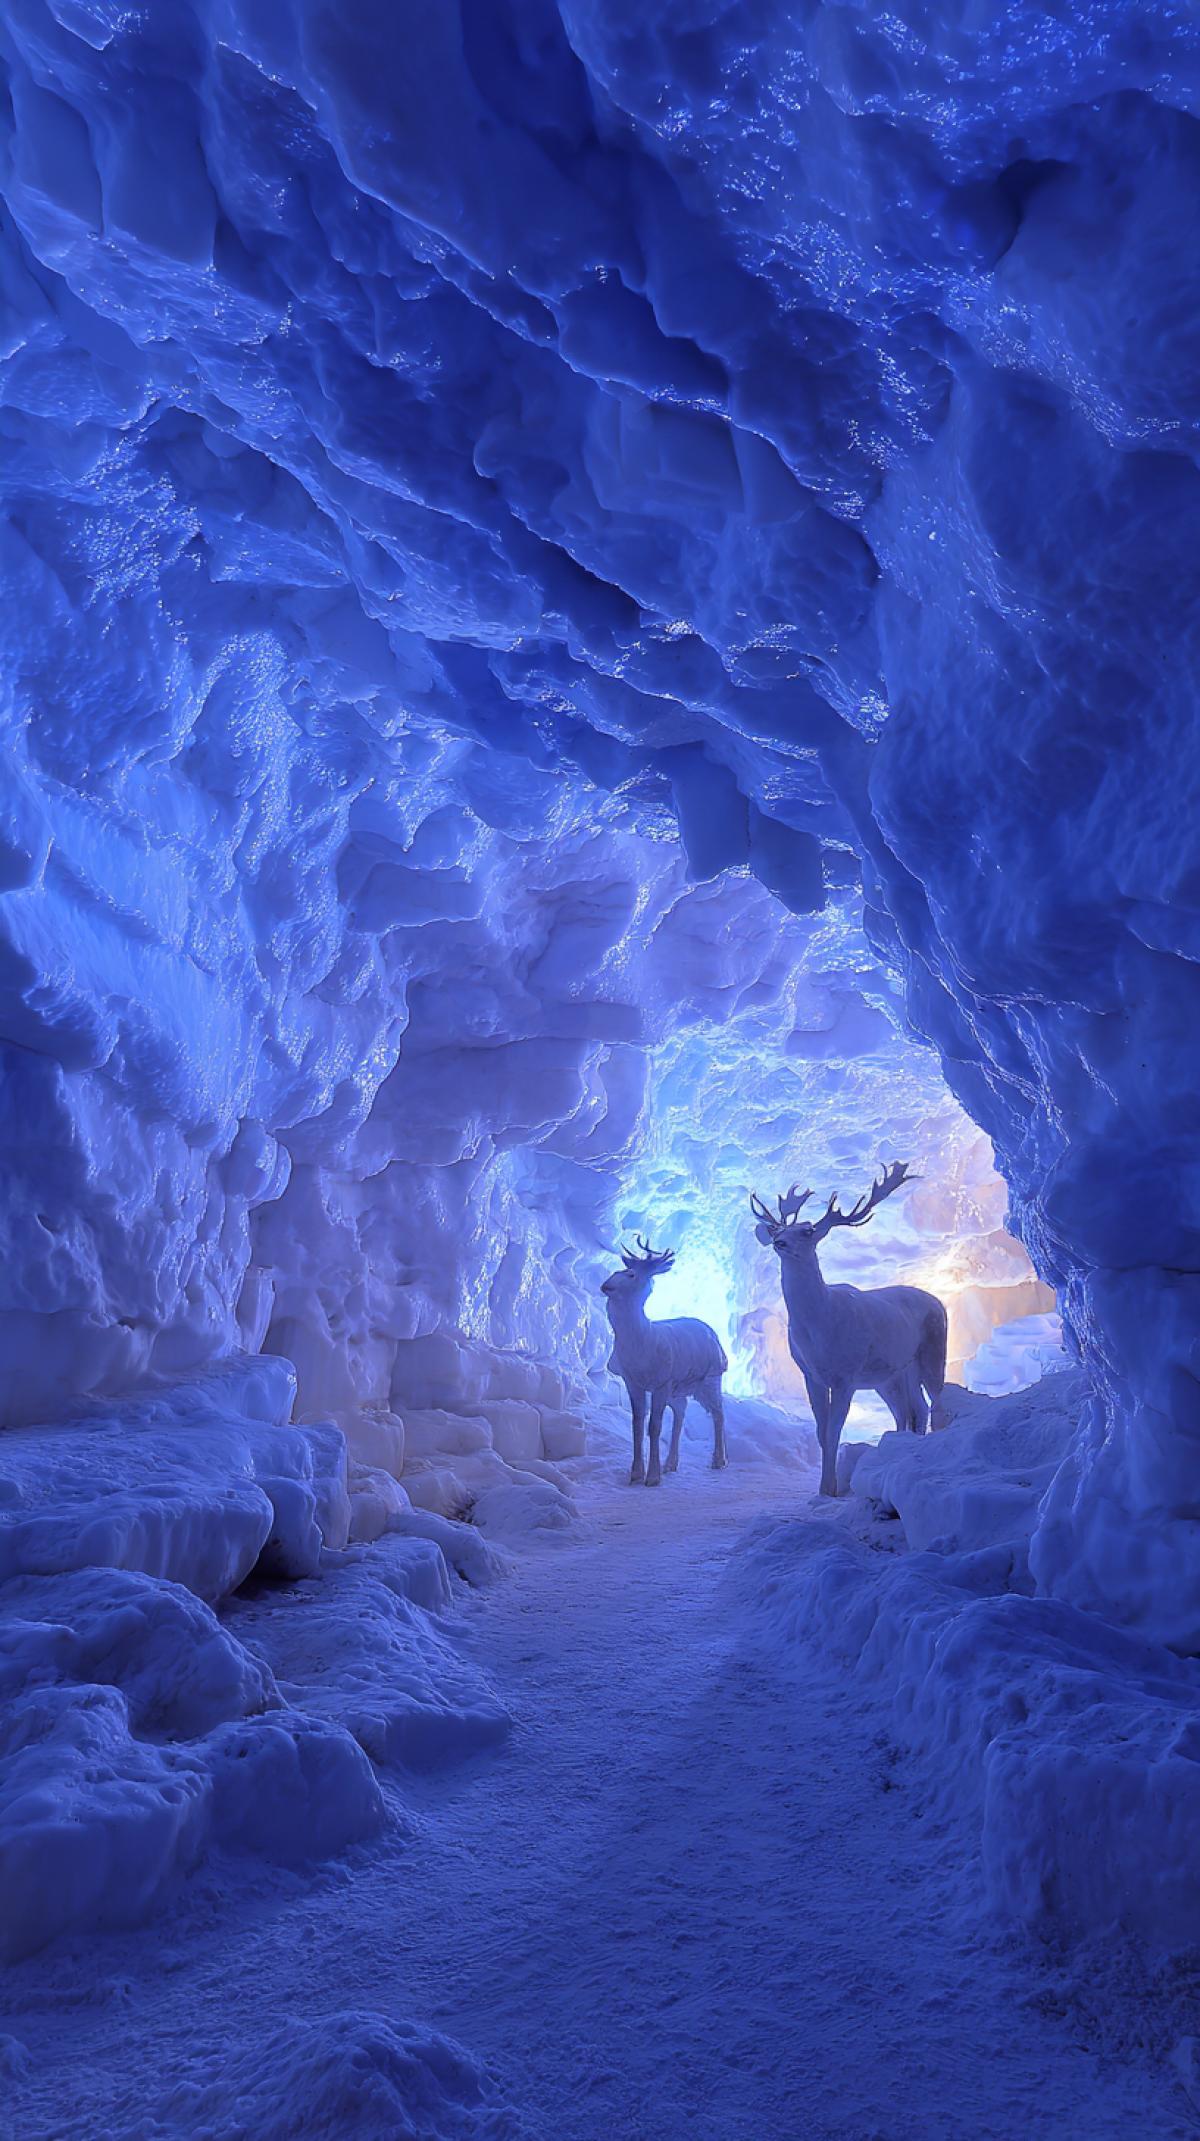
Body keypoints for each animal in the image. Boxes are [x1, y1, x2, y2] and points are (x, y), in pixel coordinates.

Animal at [601, 1237, 728, 1485]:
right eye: (617, 1270)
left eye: (631, 1274)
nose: (605, 1286)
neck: (639, 1342)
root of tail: (713, 1334)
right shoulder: (633, 1381)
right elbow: (637, 1425)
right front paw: (635, 1474)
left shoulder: (662, 1381)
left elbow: (654, 1427)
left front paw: (652, 1477)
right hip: (679, 1389)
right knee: (681, 1411)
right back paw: (671, 1464)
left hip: (711, 1376)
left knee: (718, 1412)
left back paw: (719, 1460)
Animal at [750, 1163, 947, 1498]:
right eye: (778, 1230)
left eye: (807, 1230)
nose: (779, 1242)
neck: (818, 1328)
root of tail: (938, 1301)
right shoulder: (811, 1374)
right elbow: (821, 1432)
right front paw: (822, 1489)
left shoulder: (846, 1374)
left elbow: (833, 1431)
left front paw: (829, 1490)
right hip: (891, 1374)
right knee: (912, 1410)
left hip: (934, 1350)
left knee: (936, 1402)